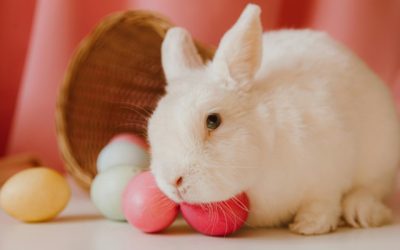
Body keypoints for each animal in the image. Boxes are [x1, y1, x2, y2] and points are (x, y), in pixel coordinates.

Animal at [147, 3, 400, 234]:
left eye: (213, 120)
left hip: (381, 156)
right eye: (152, 129)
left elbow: (323, 202)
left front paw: (308, 225)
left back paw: (363, 213)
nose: (173, 181)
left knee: (369, 189)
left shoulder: (330, 171)